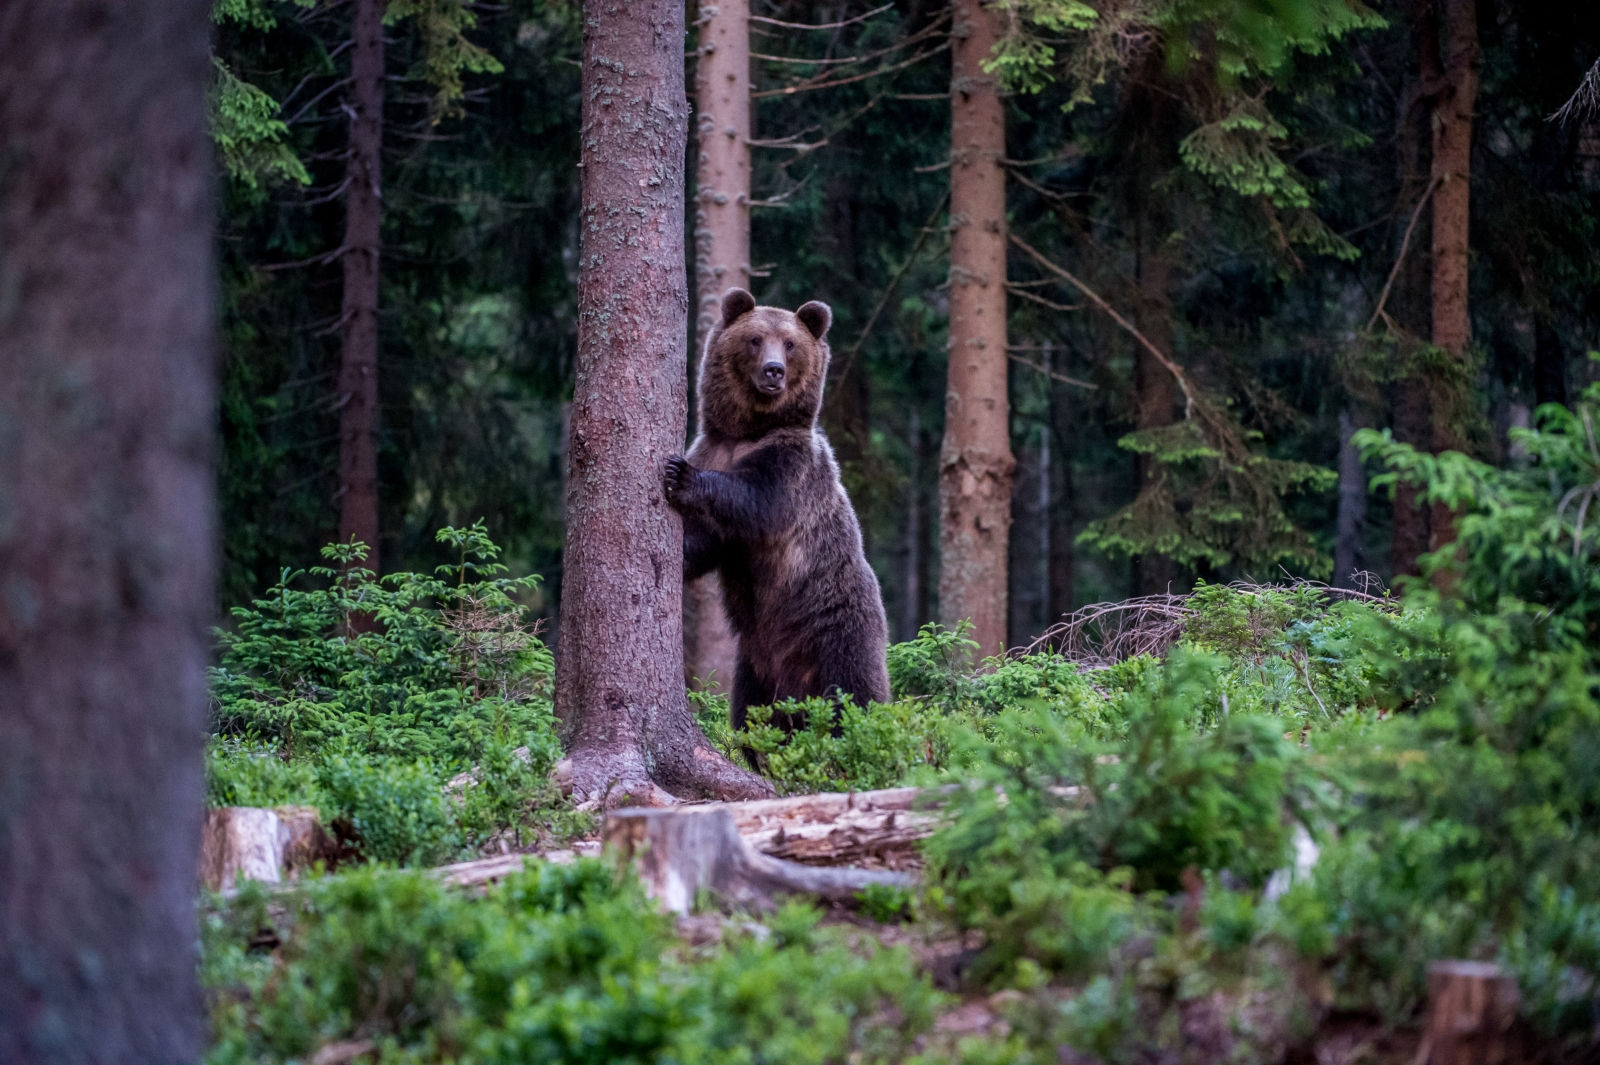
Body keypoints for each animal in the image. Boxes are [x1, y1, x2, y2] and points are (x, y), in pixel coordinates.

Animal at [664, 287, 891, 740]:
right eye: (755, 339)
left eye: (790, 343)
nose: (774, 371)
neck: (746, 433)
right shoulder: (713, 448)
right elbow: (706, 540)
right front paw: (679, 551)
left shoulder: (793, 467)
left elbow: (759, 502)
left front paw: (681, 476)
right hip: (754, 664)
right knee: (750, 715)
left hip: (836, 629)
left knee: (854, 694)